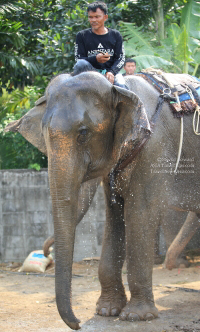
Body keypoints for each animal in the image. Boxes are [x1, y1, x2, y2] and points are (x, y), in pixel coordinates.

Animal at [5, 69, 200, 330]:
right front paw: (107, 311)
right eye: (44, 133)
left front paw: (136, 316)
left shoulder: (155, 150)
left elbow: (138, 213)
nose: (77, 323)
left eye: (83, 134)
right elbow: (115, 214)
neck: (119, 88)